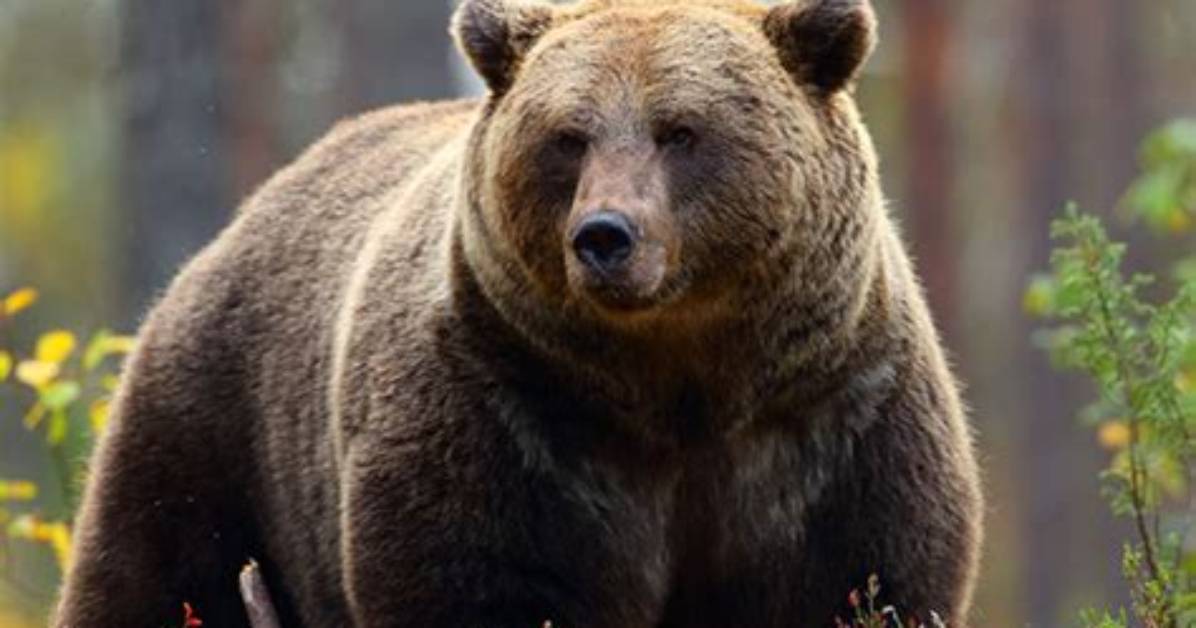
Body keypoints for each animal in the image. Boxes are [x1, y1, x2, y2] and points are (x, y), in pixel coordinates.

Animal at [55, 0, 984, 626]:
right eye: (569, 136)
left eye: (680, 130)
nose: (604, 235)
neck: (680, 384)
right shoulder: (509, 415)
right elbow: (482, 577)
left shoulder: (830, 419)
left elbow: (864, 573)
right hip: (214, 425)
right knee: (149, 572)